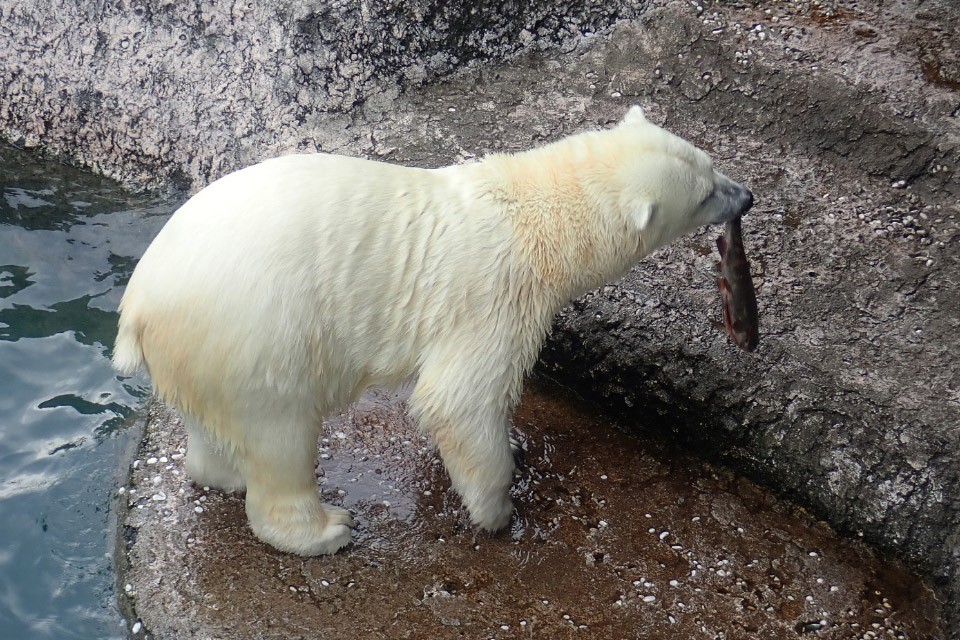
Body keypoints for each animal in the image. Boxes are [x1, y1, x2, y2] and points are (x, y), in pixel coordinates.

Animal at [114, 106, 752, 556]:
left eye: (709, 161)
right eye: (705, 193)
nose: (746, 195)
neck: (534, 211)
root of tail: (139, 304)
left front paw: (511, 451)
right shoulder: (495, 294)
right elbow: (459, 398)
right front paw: (499, 509)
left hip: (207, 348)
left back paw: (222, 474)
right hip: (259, 333)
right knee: (280, 434)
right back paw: (327, 529)